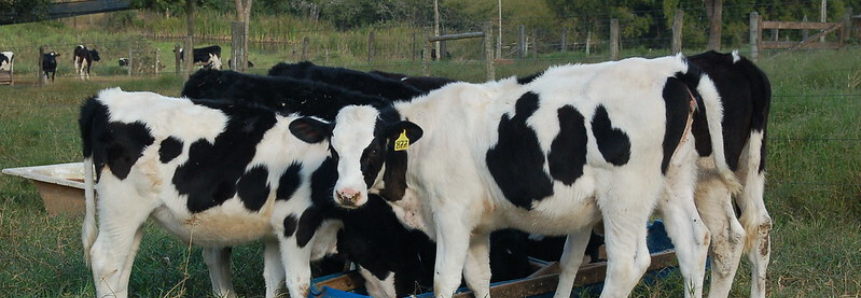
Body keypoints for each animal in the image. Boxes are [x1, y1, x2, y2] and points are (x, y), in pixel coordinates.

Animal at [290, 55, 740, 298]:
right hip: (674, 185)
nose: (347, 194)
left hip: (625, 199)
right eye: (333, 149)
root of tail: (674, 74)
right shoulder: (476, 226)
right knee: (696, 242)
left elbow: (444, 280)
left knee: (628, 264)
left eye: (374, 148)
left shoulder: (452, 218)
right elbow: (478, 278)